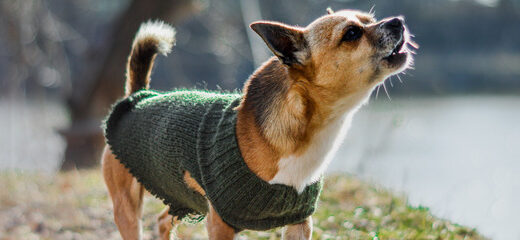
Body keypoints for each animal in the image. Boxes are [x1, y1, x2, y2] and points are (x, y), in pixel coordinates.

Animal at [101, 8, 416, 239]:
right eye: (352, 34)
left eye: (371, 21)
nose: (398, 21)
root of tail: (138, 96)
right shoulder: (220, 225)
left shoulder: (300, 224)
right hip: (127, 208)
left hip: (182, 197)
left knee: (162, 221)